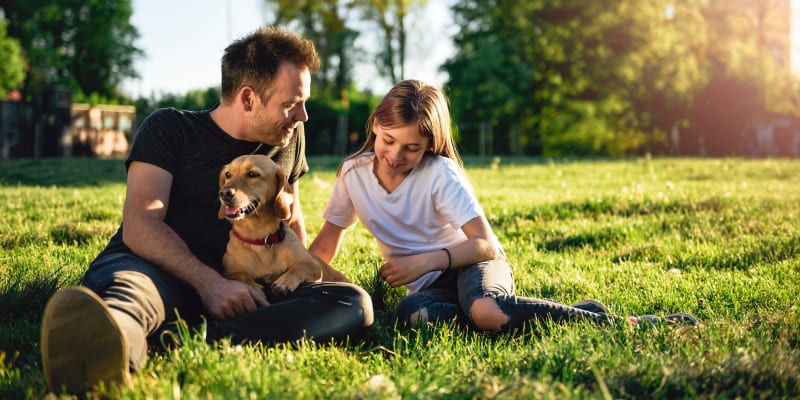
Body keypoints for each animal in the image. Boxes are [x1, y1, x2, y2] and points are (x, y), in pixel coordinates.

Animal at [217, 154, 348, 294]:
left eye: (252, 174)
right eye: (228, 174)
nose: (224, 193)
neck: (259, 238)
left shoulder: (313, 265)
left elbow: (297, 268)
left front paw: (285, 282)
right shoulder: (229, 272)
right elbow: (241, 277)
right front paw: (253, 287)